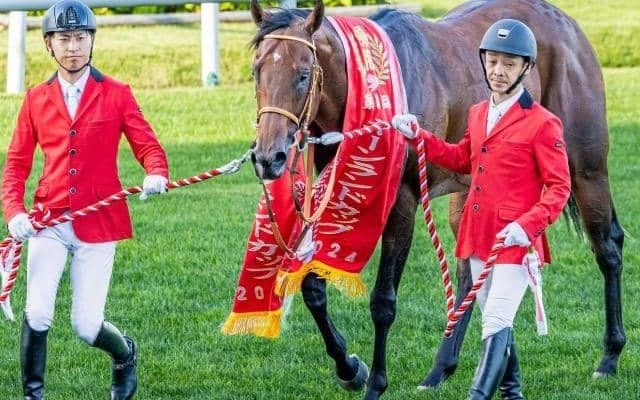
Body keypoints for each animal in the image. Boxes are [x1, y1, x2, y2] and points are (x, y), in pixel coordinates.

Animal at [248, 0, 625, 398]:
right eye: (257, 71)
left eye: (303, 75)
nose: (268, 157)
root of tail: (567, 25)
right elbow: (312, 289)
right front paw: (350, 368)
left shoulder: (403, 203)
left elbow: (383, 302)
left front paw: (375, 382)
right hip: (473, 190)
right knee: (471, 271)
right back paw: (441, 368)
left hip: (585, 170)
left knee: (608, 246)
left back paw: (609, 356)